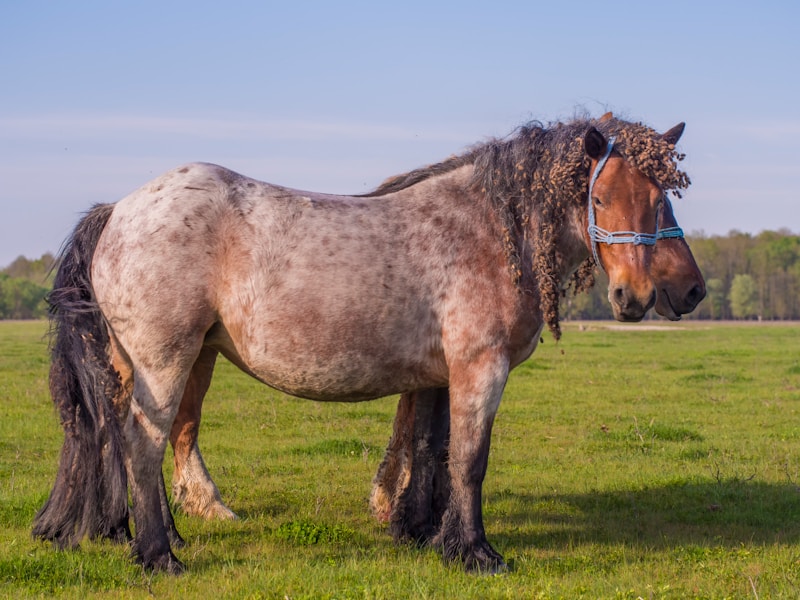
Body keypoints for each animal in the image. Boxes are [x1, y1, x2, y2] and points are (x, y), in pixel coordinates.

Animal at [34, 113, 692, 572]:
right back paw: (158, 556)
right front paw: (477, 553)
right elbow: (470, 460)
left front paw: (424, 533)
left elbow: (430, 450)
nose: (677, 292)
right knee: (142, 445)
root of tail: (119, 210)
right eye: (600, 198)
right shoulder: (481, 368)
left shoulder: (438, 376)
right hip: (165, 361)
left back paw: (160, 536)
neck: (488, 231)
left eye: (664, 196)